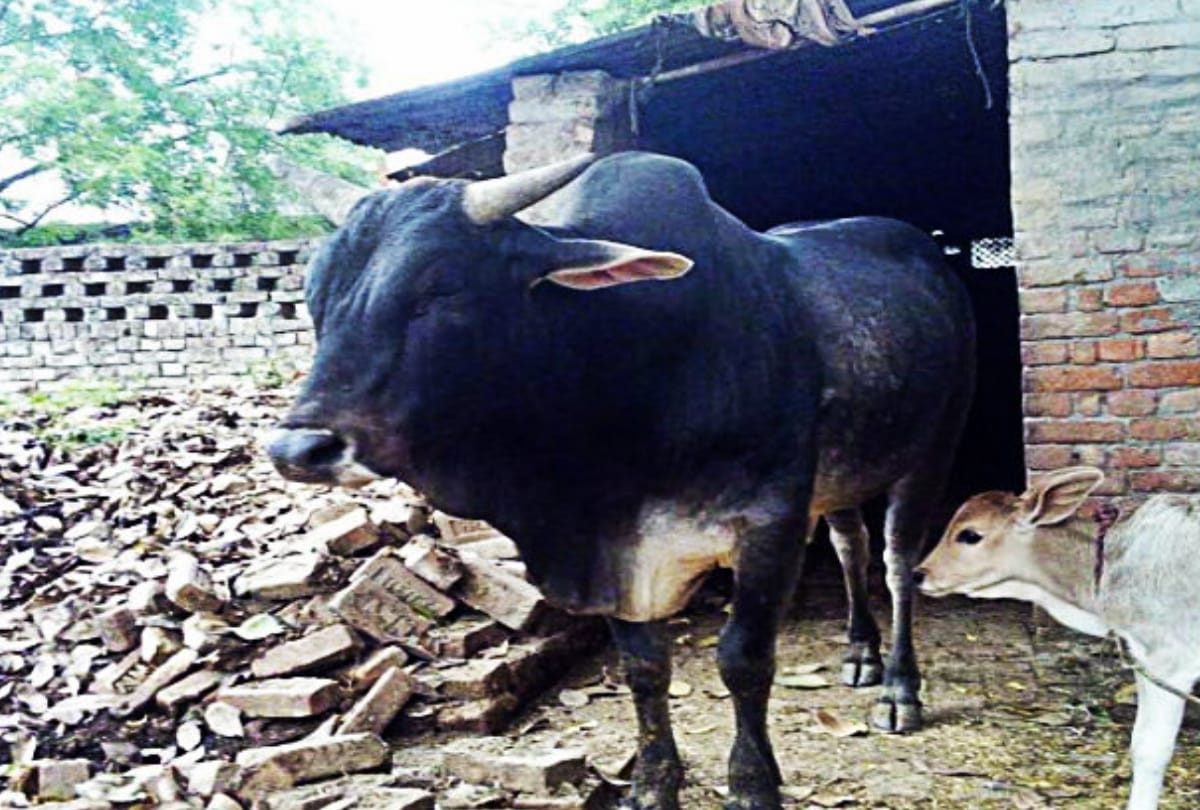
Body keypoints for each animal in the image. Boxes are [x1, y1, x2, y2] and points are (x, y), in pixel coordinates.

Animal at [267, 151, 976, 810]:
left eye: (440, 289)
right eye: (315, 296)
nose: (299, 447)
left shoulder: (768, 525)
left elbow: (743, 661)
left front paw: (752, 784)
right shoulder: (620, 550)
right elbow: (644, 668)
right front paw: (654, 785)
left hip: (933, 447)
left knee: (896, 563)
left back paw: (899, 686)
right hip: (842, 475)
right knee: (852, 546)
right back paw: (860, 653)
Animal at [916, 467, 1200, 810]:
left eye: (970, 535)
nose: (919, 574)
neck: (1109, 565)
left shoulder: (1170, 661)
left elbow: (1151, 749)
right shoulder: (1143, 660)